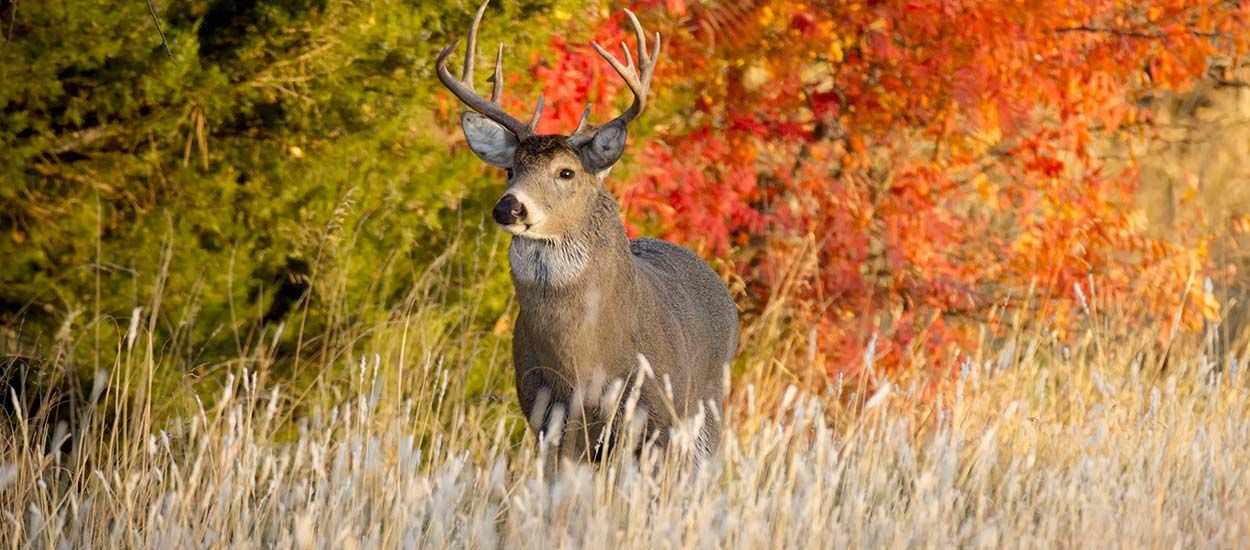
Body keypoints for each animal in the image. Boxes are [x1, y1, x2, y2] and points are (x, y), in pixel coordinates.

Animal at [437, 0, 735, 465]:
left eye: (566, 172)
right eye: (510, 170)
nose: (509, 206)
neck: (584, 363)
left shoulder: (655, 418)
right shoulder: (547, 418)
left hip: (705, 411)